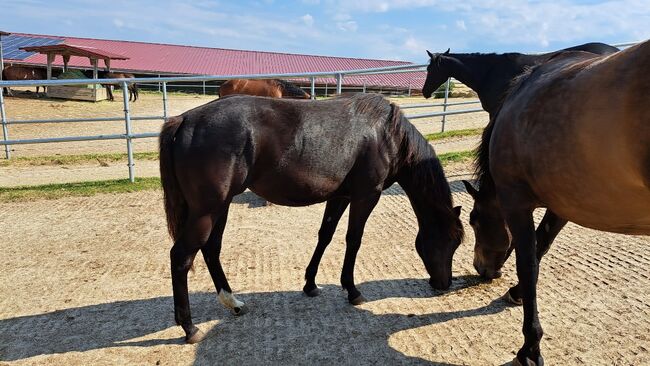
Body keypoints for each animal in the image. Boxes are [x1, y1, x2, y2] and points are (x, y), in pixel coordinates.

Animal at [158, 93, 464, 344]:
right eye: (450, 242)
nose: (443, 284)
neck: (386, 134)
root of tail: (184, 120)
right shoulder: (366, 196)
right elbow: (353, 240)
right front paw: (352, 290)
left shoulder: (340, 197)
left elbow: (325, 236)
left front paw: (311, 284)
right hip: (207, 211)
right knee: (181, 257)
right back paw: (189, 328)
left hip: (220, 207)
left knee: (211, 250)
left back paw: (233, 303)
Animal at [466, 42, 648, 364]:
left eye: (474, 220)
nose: (480, 268)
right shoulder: (565, 202)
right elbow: (543, 246)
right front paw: (516, 293)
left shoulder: (515, 204)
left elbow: (528, 264)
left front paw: (530, 348)